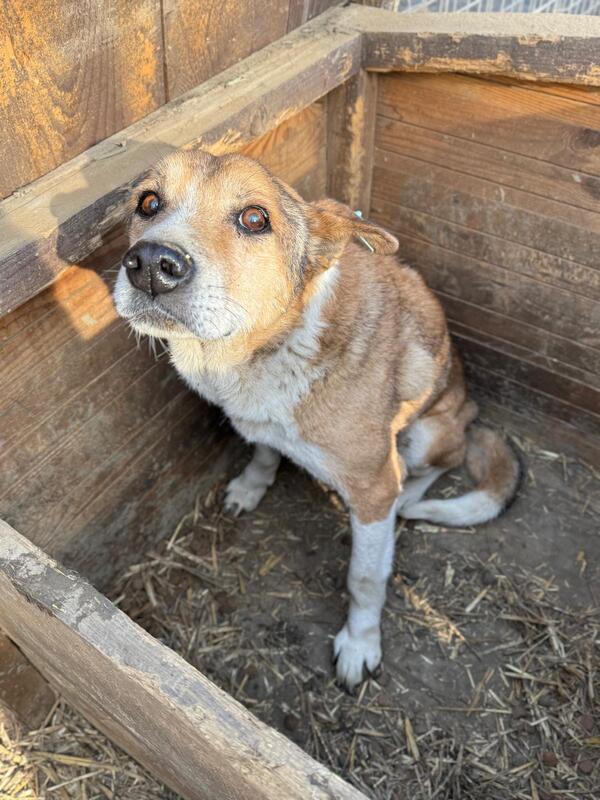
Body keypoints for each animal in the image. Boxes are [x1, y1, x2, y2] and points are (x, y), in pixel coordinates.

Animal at [113, 149, 520, 690]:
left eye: (254, 218)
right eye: (149, 202)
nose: (151, 266)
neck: (272, 346)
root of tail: (470, 411)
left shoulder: (372, 488)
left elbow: (365, 577)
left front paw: (360, 644)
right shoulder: (259, 423)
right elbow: (264, 452)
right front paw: (251, 486)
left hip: (429, 432)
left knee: (437, 465)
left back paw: (409, 498)